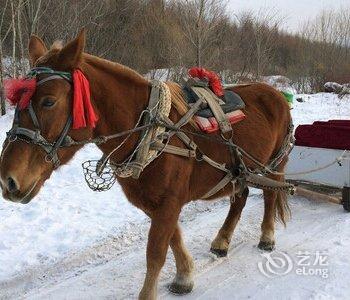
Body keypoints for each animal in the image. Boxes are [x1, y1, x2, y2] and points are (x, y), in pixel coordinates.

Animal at [0, 29, 292, 298]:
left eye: (49, 101)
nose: (8, 179)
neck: (150, 133)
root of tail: (276, 93)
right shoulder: (157, 203)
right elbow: (174, 238)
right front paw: (185, 276)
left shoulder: (168, 203)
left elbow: (156, 253)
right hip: (239, 171)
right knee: (240, 196)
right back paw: (222, 241)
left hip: (274, 166)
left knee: (269, 196)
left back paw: (267, 237)